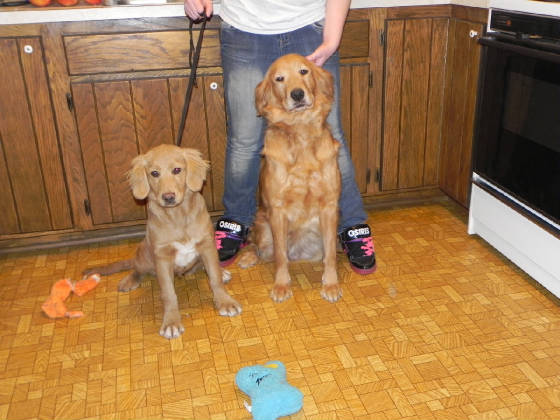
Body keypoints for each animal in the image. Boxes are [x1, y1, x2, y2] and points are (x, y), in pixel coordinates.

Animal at [85, 144, 241, 338]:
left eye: (177, 170)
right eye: (154, 173)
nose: (168, 197)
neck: (178, 216)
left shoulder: (207, 246)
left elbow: (214, 278)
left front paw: (225, 301)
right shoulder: (162, 257)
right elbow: (168, 293)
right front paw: (171, 322)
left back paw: (221, 272)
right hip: (143, 254)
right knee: (136, 268)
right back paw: (129, 280)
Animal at [236, 54, 342, 304]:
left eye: (304, 71)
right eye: (279, 78)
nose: (297, 94)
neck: (301, 131)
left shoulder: (329, 207)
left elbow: (331, 254)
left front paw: (331, 283)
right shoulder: (277, 210)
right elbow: (280, 256)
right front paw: (282, 285)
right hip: (263, 224)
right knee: (260, 248)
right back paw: (248, 257)